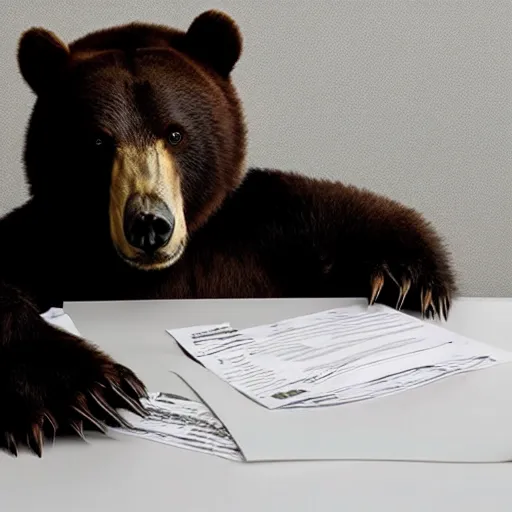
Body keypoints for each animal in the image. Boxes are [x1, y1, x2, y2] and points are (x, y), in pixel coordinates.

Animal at [0, 9, 456, 456]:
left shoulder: (258, 231)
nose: (149, 224)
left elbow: (337, 212)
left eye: (175, 133)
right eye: (98, 141)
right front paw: (89, 391)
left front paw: (403, 277)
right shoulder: (47, 244)